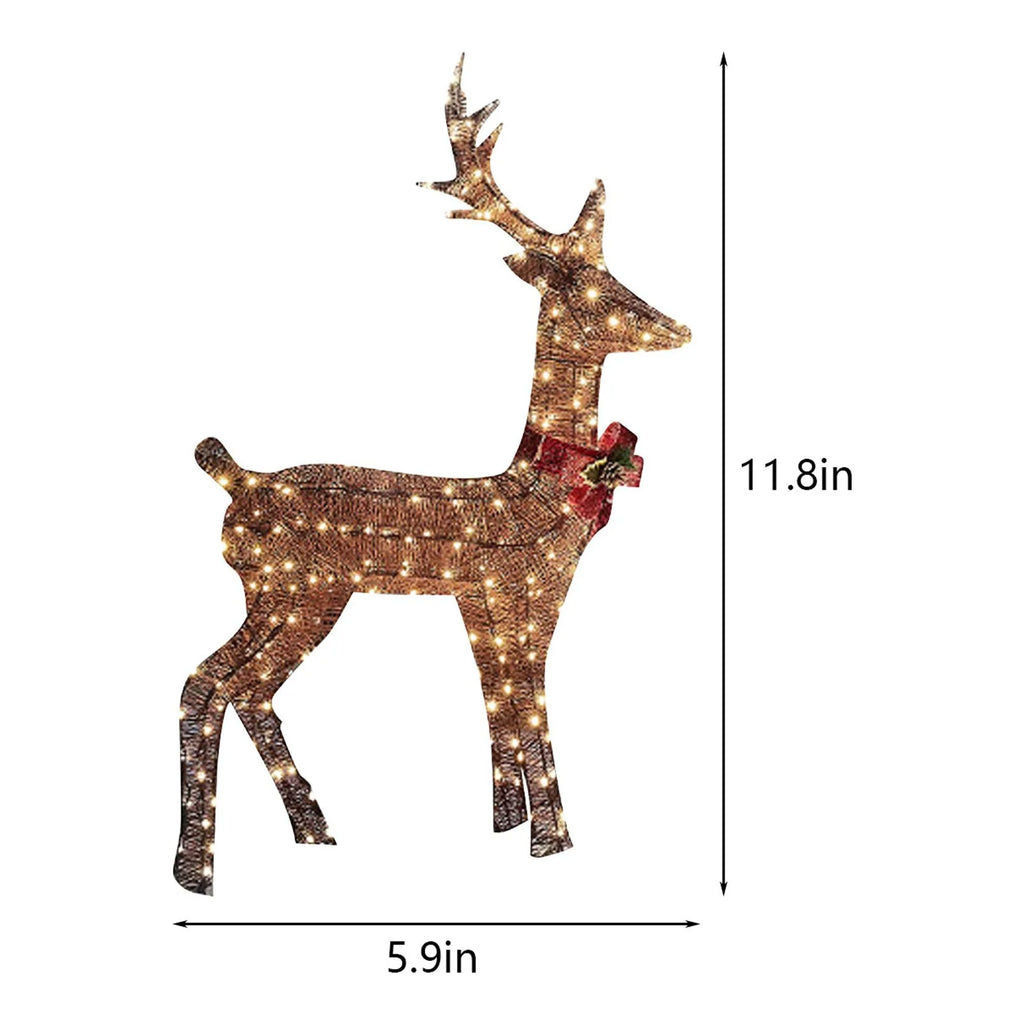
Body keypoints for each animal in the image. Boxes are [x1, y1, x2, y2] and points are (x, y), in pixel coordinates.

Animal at [175, 56, 690, 895]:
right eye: (593, 290)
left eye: (620, 278)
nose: (679, 327)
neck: (542, 489)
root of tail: (234, 477)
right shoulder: (523, 594)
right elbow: (532, 703)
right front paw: (556, 843)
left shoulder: (475, 603)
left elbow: (499, 707)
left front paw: (507, 824)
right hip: (291, 588)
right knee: (207, 683)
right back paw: (199, 870)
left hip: (296, 595)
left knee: (245, 692)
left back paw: (314, 830)